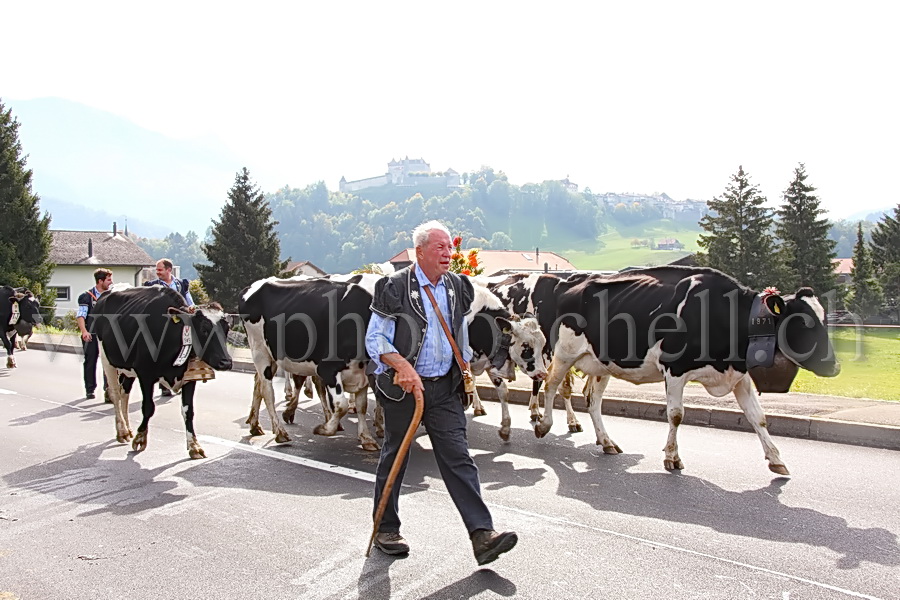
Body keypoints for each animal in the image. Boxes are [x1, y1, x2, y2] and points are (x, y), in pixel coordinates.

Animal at [93, 284, 234, 458]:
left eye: (226, 329)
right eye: (204, 329)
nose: (226, 362)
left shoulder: (189, 377)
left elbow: (189, 411)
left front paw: (194, 446)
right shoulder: (145, 374)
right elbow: (148, 407)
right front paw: (140, 438)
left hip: (128, 368)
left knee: (124, 393)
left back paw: (128, 428)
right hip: (106, 359)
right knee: (115, 394)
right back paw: (122, 432)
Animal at [536, 266, 836, 474]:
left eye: (824, 321)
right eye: (803, 323)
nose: (834, 365)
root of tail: (568, 282)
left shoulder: (739, 376)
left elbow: (758, 418)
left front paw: (776, 459)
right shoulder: (675, 369)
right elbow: (676, 414)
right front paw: (672, 457)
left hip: (601, 363)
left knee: (593, 401)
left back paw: (606, 441)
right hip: (564, 353)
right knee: (551, 386)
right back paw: (543, 424)